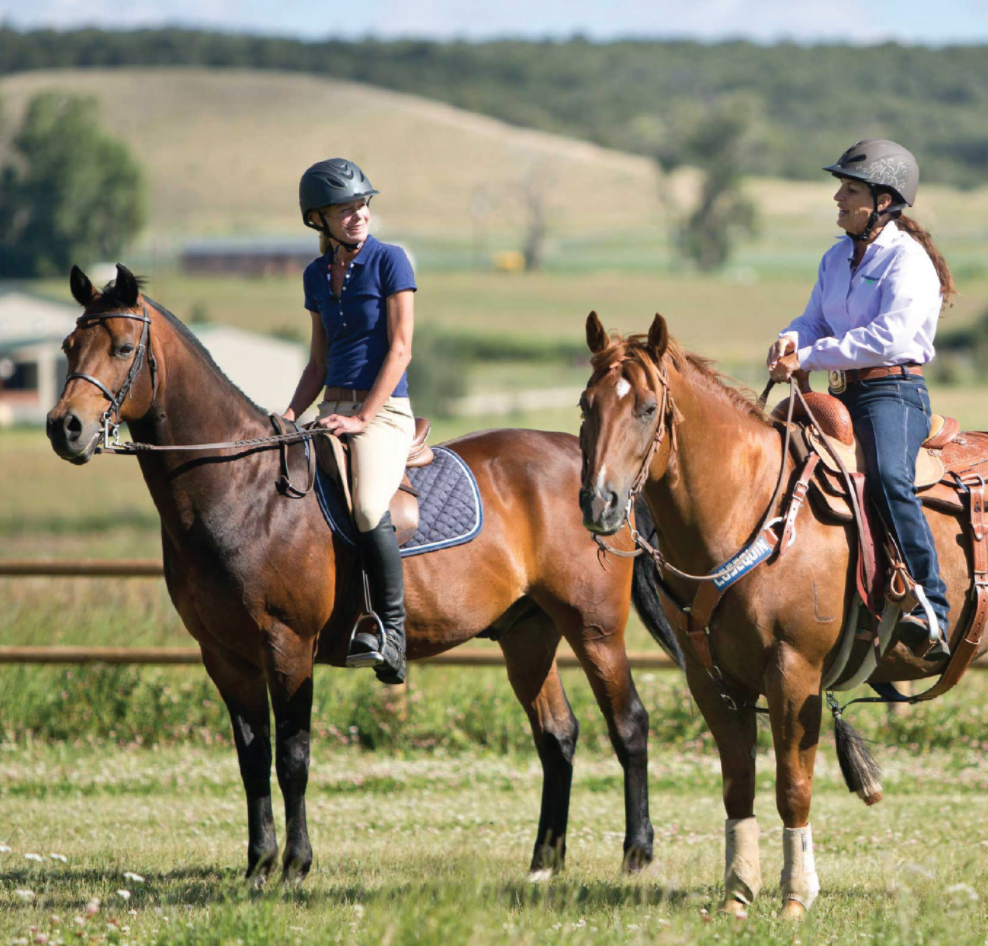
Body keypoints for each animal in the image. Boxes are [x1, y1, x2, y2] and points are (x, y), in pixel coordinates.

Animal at [46, 268, 680, 884]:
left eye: (123, 348)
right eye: (69, 346)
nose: (64, 428)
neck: (243, 489)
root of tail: (596, 472)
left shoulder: (287, 645)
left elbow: (292, 758)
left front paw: (295, 867)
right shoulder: (224, 655)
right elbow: (251, 759)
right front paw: (258, 866)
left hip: (594, 630)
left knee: (629, 725)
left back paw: (637, 853)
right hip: (528, 634)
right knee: (557, 736)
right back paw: (544, 862)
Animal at [576, 310, 984, 916]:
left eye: (647, 408)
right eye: (587, 405)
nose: (598, 503)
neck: (749, 510)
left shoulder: (795, 676)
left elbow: (793, 788)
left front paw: (795, 898)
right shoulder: (714, 682)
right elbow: (737, 787)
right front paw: (737, 895)